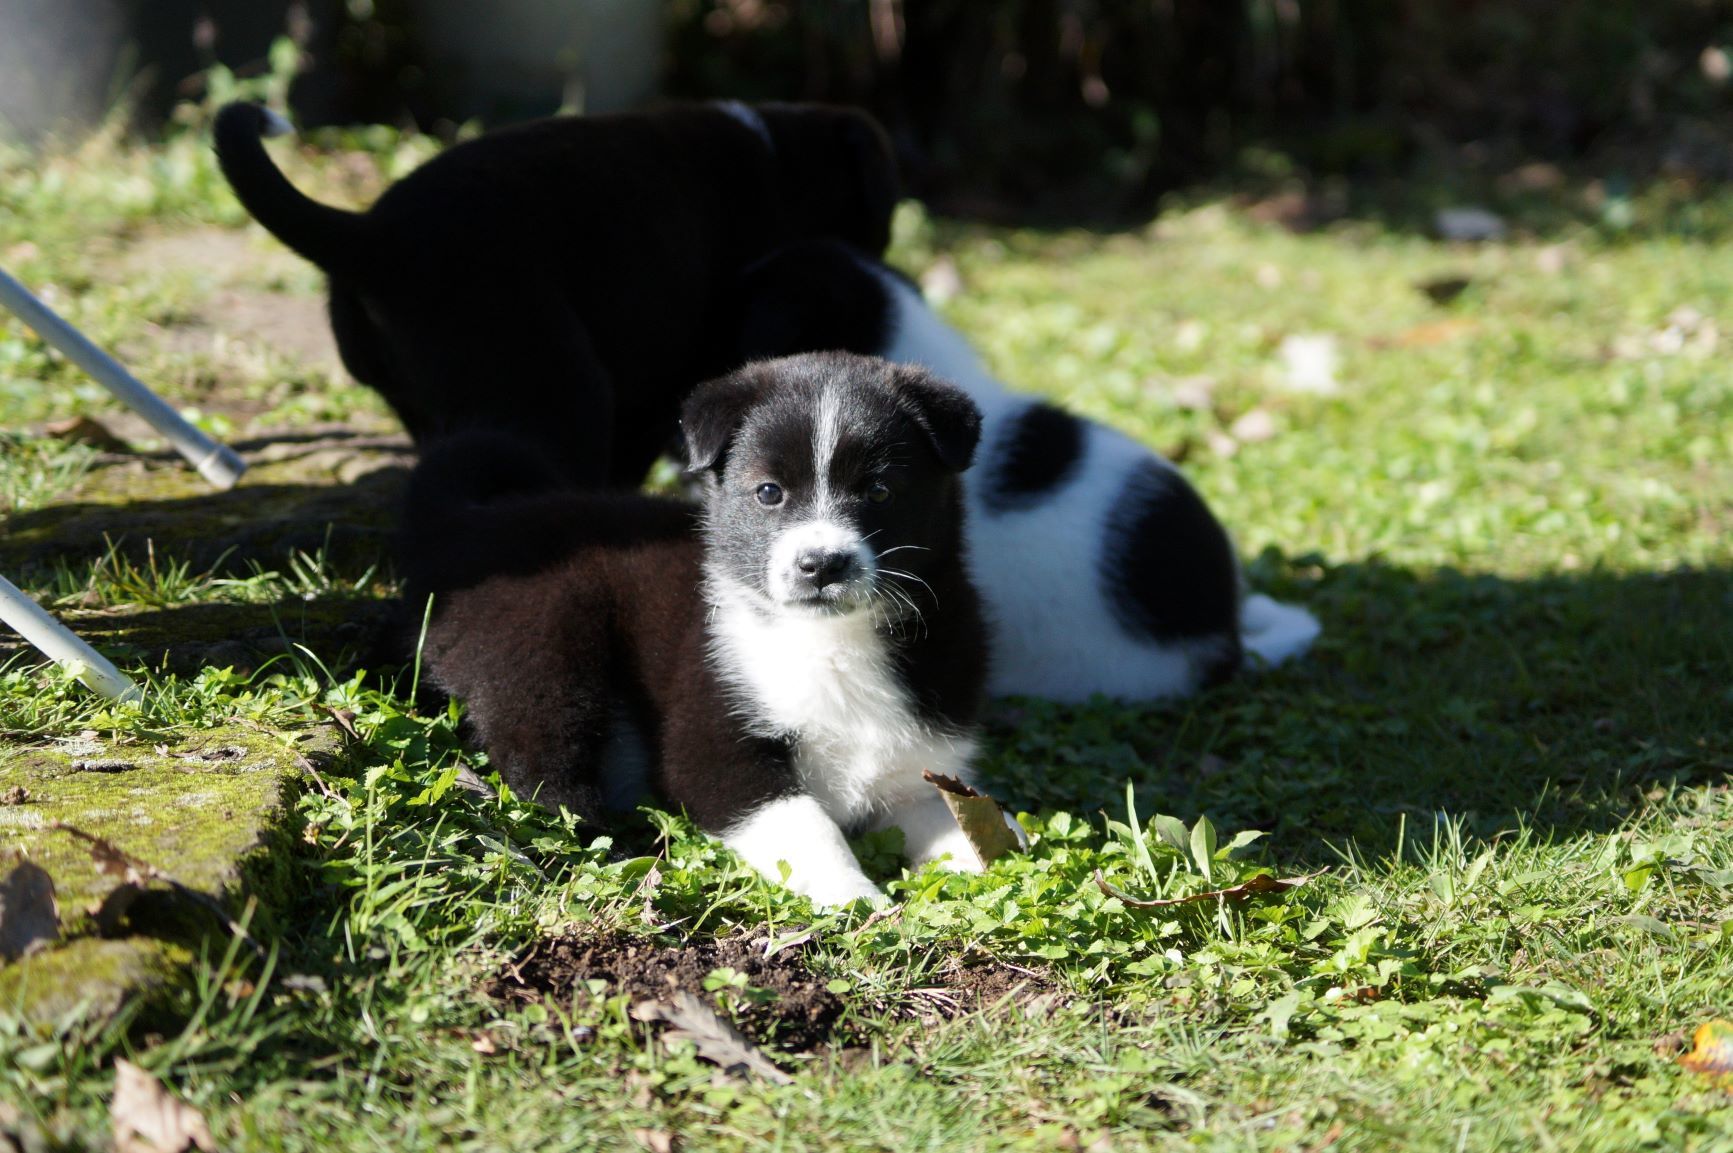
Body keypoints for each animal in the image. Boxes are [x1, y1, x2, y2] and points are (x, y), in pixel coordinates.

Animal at [396, 350, 1012, 908]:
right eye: (769, 492)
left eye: (880, 492)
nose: (821, 565)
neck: (831, 643)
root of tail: (473, 525)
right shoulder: (716, 744)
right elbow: (805, 822)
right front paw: (851, 894)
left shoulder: (918, 766)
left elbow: (957, 822)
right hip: (547, 642)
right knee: (541, 763)